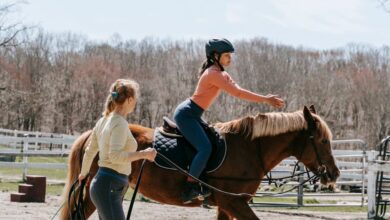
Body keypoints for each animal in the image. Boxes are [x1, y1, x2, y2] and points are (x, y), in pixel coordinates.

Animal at [59, 105, 340, 219]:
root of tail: (94, 132)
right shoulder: (234, 203)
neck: (249, 148)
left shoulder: (226, 205)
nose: (334, 174)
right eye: (323, 140)